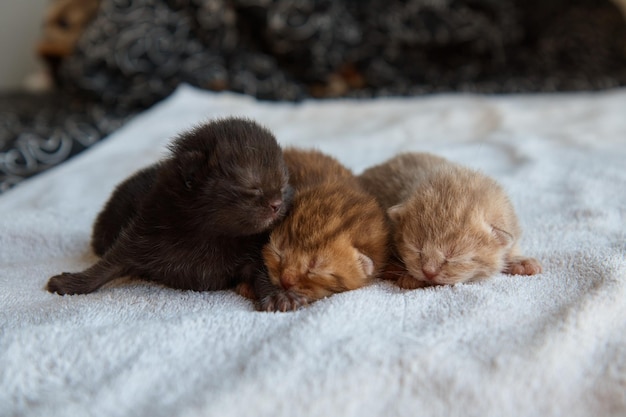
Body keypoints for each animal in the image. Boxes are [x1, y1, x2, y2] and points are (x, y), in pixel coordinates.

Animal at [46, 116, 294, 300]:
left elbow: (261, 271)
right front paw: (71, 282)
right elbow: (107, 265)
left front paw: (275, 295)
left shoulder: (251, 249)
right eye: (253, 187)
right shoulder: (143, 230)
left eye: (283, 186)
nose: (277, 205)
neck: (210, 233)